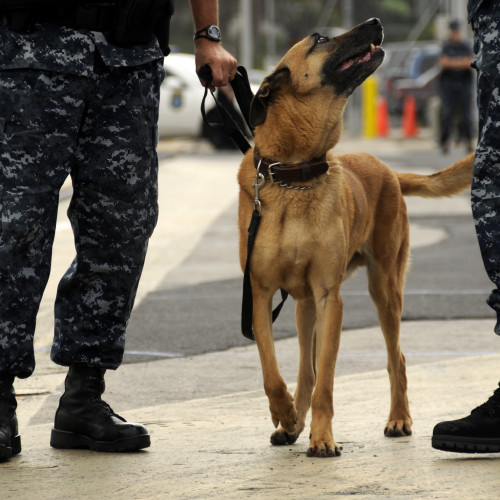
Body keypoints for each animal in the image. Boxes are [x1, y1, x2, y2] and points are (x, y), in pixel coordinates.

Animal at [236, 18, 474, 458]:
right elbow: (272, 371)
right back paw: (294, 423)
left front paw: (323, 439)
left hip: (384, 288)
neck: (295, 173)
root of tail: (391, 172)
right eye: (320, 39)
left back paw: (398, 419)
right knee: (305, 371)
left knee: (396, 359)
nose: (375, 23)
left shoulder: (330, 299)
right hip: (305, 307)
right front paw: (286, 415)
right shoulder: (259, 295)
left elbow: (327, 383)